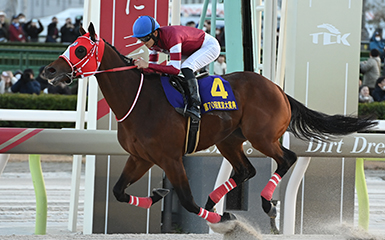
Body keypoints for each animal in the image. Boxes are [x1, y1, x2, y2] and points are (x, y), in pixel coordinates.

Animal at [42, 23, 376, 228]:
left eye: (80, 49)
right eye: (71, 45)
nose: (48, 71)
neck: (139, 100)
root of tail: (278, 89)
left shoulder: (170, 158)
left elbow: (187, 202)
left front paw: (223, 221)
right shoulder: (140, 157)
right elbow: (118, 192)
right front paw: (159, 195)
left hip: (263, 137)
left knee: (287, 159)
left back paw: (267, 204)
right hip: (229, 140)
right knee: (245, 170)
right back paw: (217, 201)